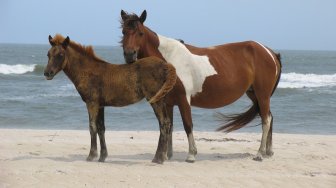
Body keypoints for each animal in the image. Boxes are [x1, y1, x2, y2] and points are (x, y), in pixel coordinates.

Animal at [44, 33, 178, 163]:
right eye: (48, 54)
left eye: (60, 55)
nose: (47, 73)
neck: (88, 71)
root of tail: (165, 65)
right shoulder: (100, 105)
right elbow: (101, 128)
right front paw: (102, 156)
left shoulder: (91, 103)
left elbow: (92, 127)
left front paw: (91, 155)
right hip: (161, 99)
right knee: (167, 123)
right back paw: (161, 156)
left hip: (155, 100)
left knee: (163, 123)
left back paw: (159, 158)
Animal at [119, 10, 282, 163]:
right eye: (124, 32)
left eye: (140, 33)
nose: (129, 55)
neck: (170, 59)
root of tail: (270, 52)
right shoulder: (169, 102)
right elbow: (169, 126)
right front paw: (166, 155)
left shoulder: (184, 100)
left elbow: (188, 125)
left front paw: (191, 155)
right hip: (254, 94)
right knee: (269, 117)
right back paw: (268, 152)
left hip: (262, 95)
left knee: (266, 120)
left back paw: (259, 154)